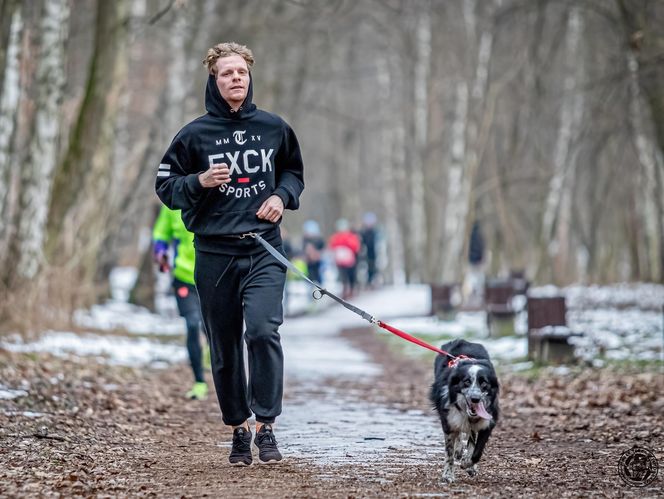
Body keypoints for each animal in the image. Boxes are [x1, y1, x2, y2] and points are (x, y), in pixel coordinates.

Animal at [428, 338, 500, 482]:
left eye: (484, 383)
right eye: (466, 381)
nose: (475, 399)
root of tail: (461, 340)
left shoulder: (488, 422)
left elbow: (477, 451)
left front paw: (468, 464)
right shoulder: (449, 421)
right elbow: (449, 452)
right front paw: (448, 475)